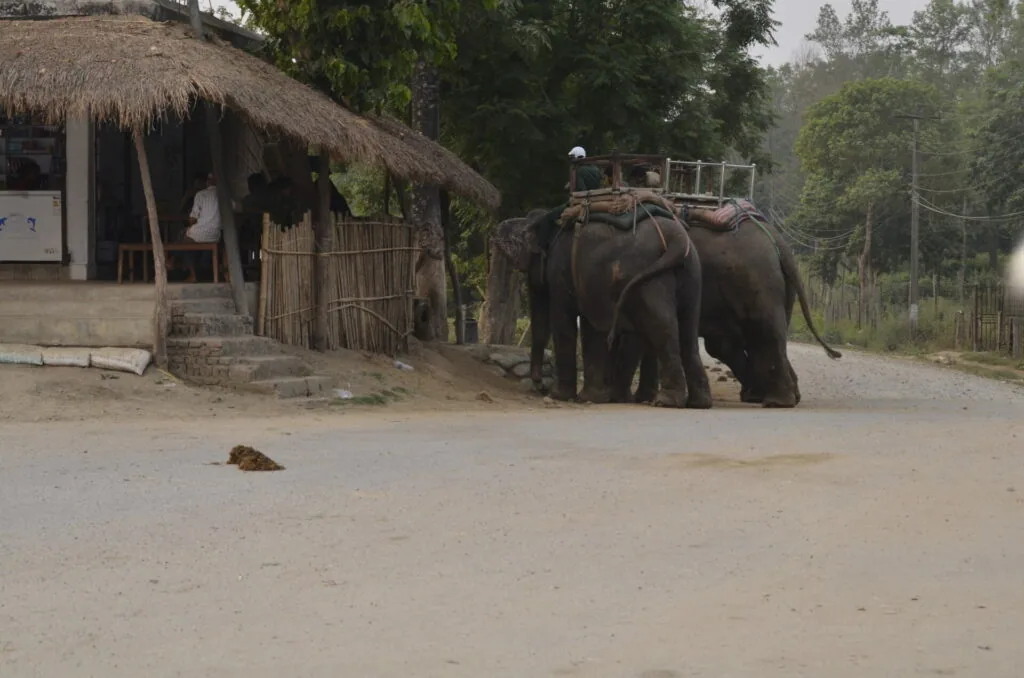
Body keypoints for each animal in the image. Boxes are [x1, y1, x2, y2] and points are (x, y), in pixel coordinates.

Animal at [496, 204, 712, 409]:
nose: (540, 387)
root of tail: (677, 239)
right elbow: (593, 327)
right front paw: (593, 397)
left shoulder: (560, 271)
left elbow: (563, 321)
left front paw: (560, 395)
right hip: (692, 274)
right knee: (687, 331)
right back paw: (698, 403)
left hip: (648, 279)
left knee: (661, 327)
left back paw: (665, 401)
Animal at [608, 211, 841, 408]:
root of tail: (777, 240)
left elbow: (636, 335)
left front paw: (625, 398)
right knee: (744, 341)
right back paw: (772, 395)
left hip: (757, 280)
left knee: (764, 331)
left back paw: (776, 401)